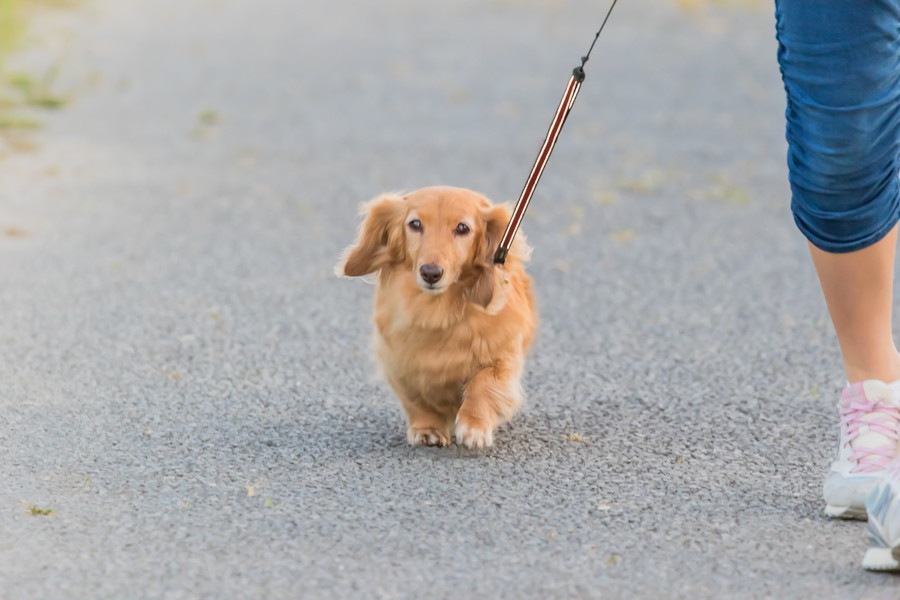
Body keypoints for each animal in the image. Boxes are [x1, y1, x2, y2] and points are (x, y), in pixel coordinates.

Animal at [336, 185, 536, 448]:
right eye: (415, 224)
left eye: (462, 228)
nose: (430, 273)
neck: (438, 311)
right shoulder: (399, 363)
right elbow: (416, 399)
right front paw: (427, 429)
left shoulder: (502, 358)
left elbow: (483, 384)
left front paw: (474, 426)